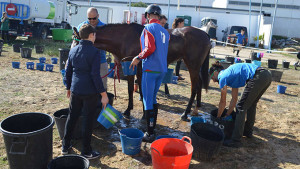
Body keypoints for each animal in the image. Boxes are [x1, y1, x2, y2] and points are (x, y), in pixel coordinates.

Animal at [71, 23, 210, 121]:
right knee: (199, 85)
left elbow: (138, 89)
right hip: (196, 67)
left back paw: (185, 113)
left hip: (192, 65)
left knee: (194, 87)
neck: (125, 38)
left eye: (76, 41)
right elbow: (132, 89)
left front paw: (140, 112)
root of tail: (205, 35)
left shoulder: (135, 68)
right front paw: (131, 110)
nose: (72, 56)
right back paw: (196, 109)